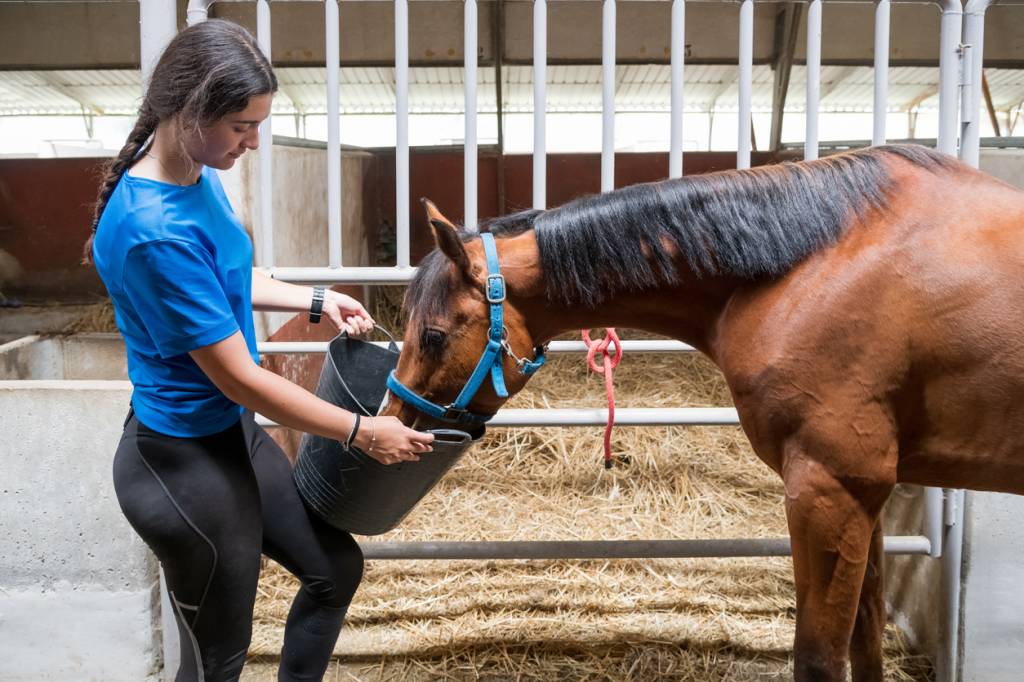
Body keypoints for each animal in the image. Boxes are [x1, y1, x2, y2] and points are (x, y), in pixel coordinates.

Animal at [380, 144, 1024, 679]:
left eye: (433, 336)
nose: (394, 422)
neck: (807, 267)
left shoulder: (830, 486)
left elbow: (818, 658)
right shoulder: (866, 495)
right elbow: (865, 643)